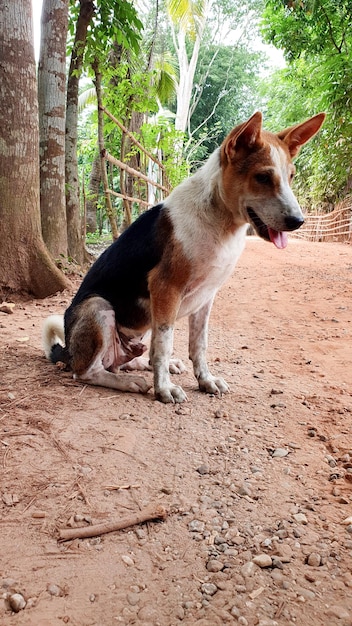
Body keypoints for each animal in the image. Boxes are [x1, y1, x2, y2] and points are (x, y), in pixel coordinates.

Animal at [43, 111, 324, 404]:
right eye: (263, 177)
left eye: (291, 177)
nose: (298, 222)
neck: (220, 220)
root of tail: (68, 351)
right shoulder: (166, 289)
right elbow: (163, 346)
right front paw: (164, 389)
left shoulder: (206, 297)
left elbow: (198, 346)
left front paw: (205, 380)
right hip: (98, 306)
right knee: (88, 371)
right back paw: (129, 381)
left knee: (123, 360)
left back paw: (148, 366)